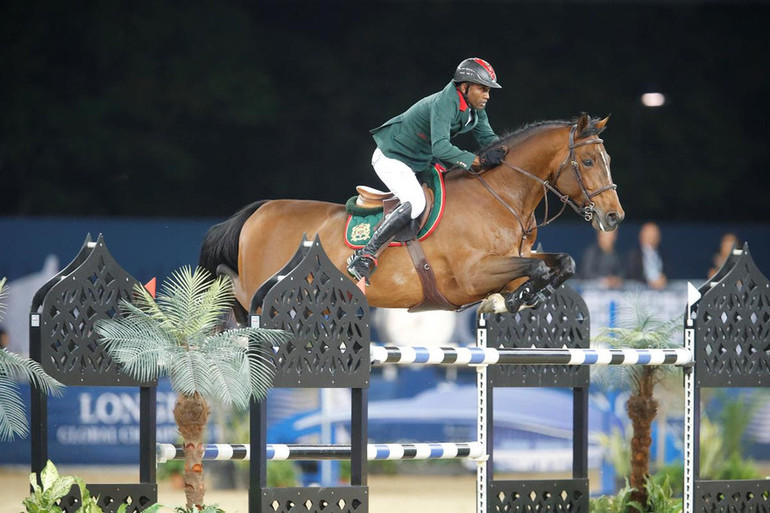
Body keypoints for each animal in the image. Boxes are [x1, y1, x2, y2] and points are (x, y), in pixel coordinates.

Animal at [201, 113, 620, 318]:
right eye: (587, 161)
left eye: (607, 159)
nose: (614, 217)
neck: (499, 196)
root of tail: (260, 210)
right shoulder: (471, 275)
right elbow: (536, 268)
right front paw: (514, 300)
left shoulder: (515, 259)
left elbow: (559, 263)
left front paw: (518, 299)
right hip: (261, 289)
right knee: (241, 297)